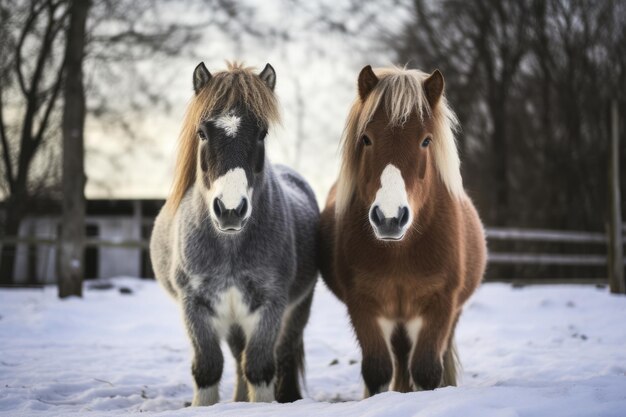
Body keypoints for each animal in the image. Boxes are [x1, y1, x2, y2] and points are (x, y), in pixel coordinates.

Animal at [150, 62, 316, 406]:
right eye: (202, 132)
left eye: (262, 133)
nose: (230, 210)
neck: (229, 249)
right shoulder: (196, 306)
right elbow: (208, 368)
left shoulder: (270, 305)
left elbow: (260, 368)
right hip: (233, 321)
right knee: (238, 360)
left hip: (296, 310)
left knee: (281, 356)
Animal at [320, 66, 486, 396]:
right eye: (366, 139)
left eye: (426, 141)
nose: (389, 218)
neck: (402, 251)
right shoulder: (364, 305)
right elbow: (377, 371)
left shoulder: (439, 305)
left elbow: (426, 370)